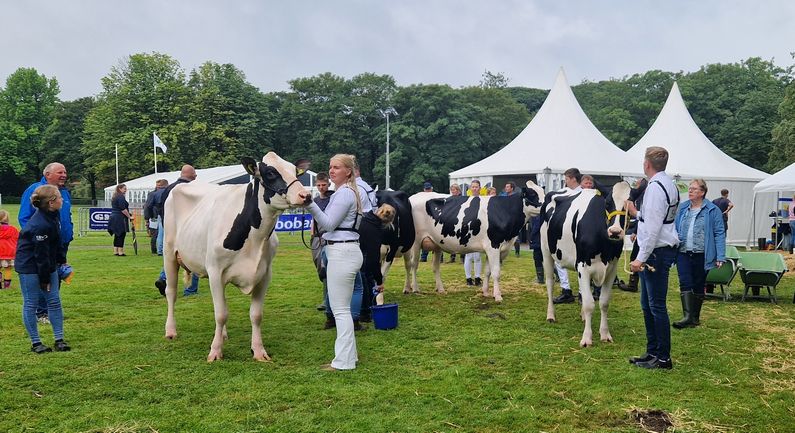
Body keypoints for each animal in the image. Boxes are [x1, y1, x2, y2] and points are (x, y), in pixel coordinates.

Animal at [163, 152, 310, 362]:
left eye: (295, 171)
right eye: (270, 173)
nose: (306, 195)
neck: (255, 239)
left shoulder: (265, 274)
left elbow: (255, 315)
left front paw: (258, 351)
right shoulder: (215, 271)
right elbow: (221, 314)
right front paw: (215, 351)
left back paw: (223, 334)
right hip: (169, 253)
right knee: (171, 292)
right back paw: (170, 331)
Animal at [404, 181, 548, 302]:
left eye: (543, 192)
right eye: (532, 194)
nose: (545, 207)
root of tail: (414, 197)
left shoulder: (494, 248)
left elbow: (487, 272)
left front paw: (486, 292)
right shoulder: (493, 246)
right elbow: (496, 272)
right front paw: (498, 296)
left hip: (437, 243)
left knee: (435, 267)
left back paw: (440, 289)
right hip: (416, 242)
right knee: (413, 264)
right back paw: (414, 289)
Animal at [544, 181, 632, 346]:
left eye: (631, 204)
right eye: (607, 203)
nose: (615, 231)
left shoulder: (611, 269)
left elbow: (603, 302)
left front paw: (605, 334)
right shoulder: (583, 266)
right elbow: (589, 304)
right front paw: (586, 338)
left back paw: (583, 317)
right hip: (546, 251)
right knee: (550, 283)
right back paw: (551, 315)